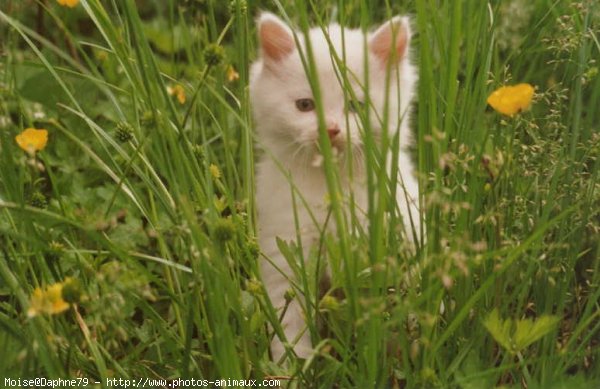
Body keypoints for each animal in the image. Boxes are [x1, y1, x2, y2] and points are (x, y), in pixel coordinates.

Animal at [251, 13, 420, 362]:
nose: (330, 129)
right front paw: (291, 367)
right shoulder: (284, 254)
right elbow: (289, 328)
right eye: (305, 105)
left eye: (356, 105)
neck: (332, 185)